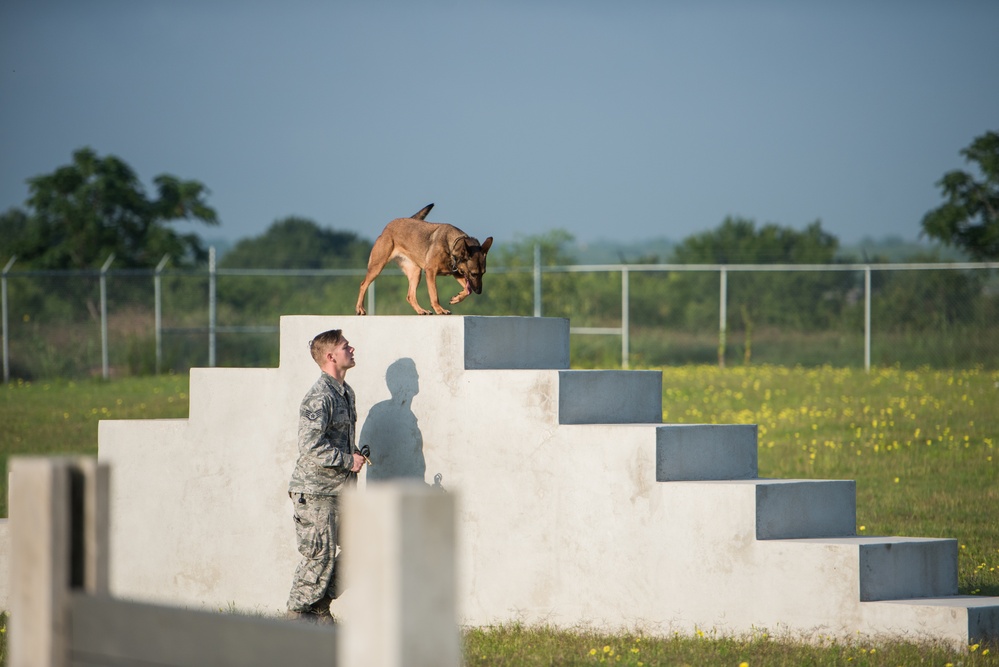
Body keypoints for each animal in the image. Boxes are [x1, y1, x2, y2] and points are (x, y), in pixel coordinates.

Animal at [358, 204, 494, 316]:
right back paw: (360, 308)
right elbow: (435, 295)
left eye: (483, 273)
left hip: (416, 272)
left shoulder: (457, 273)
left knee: (410, 296)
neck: (452, 246)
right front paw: (440, 310)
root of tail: (387, 227)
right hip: (377, 266)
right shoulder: (430, 272)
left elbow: (467, 290)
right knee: (363, 284)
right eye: (474, 274)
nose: (479, 291)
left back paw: (421, 311)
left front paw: (457, 298)